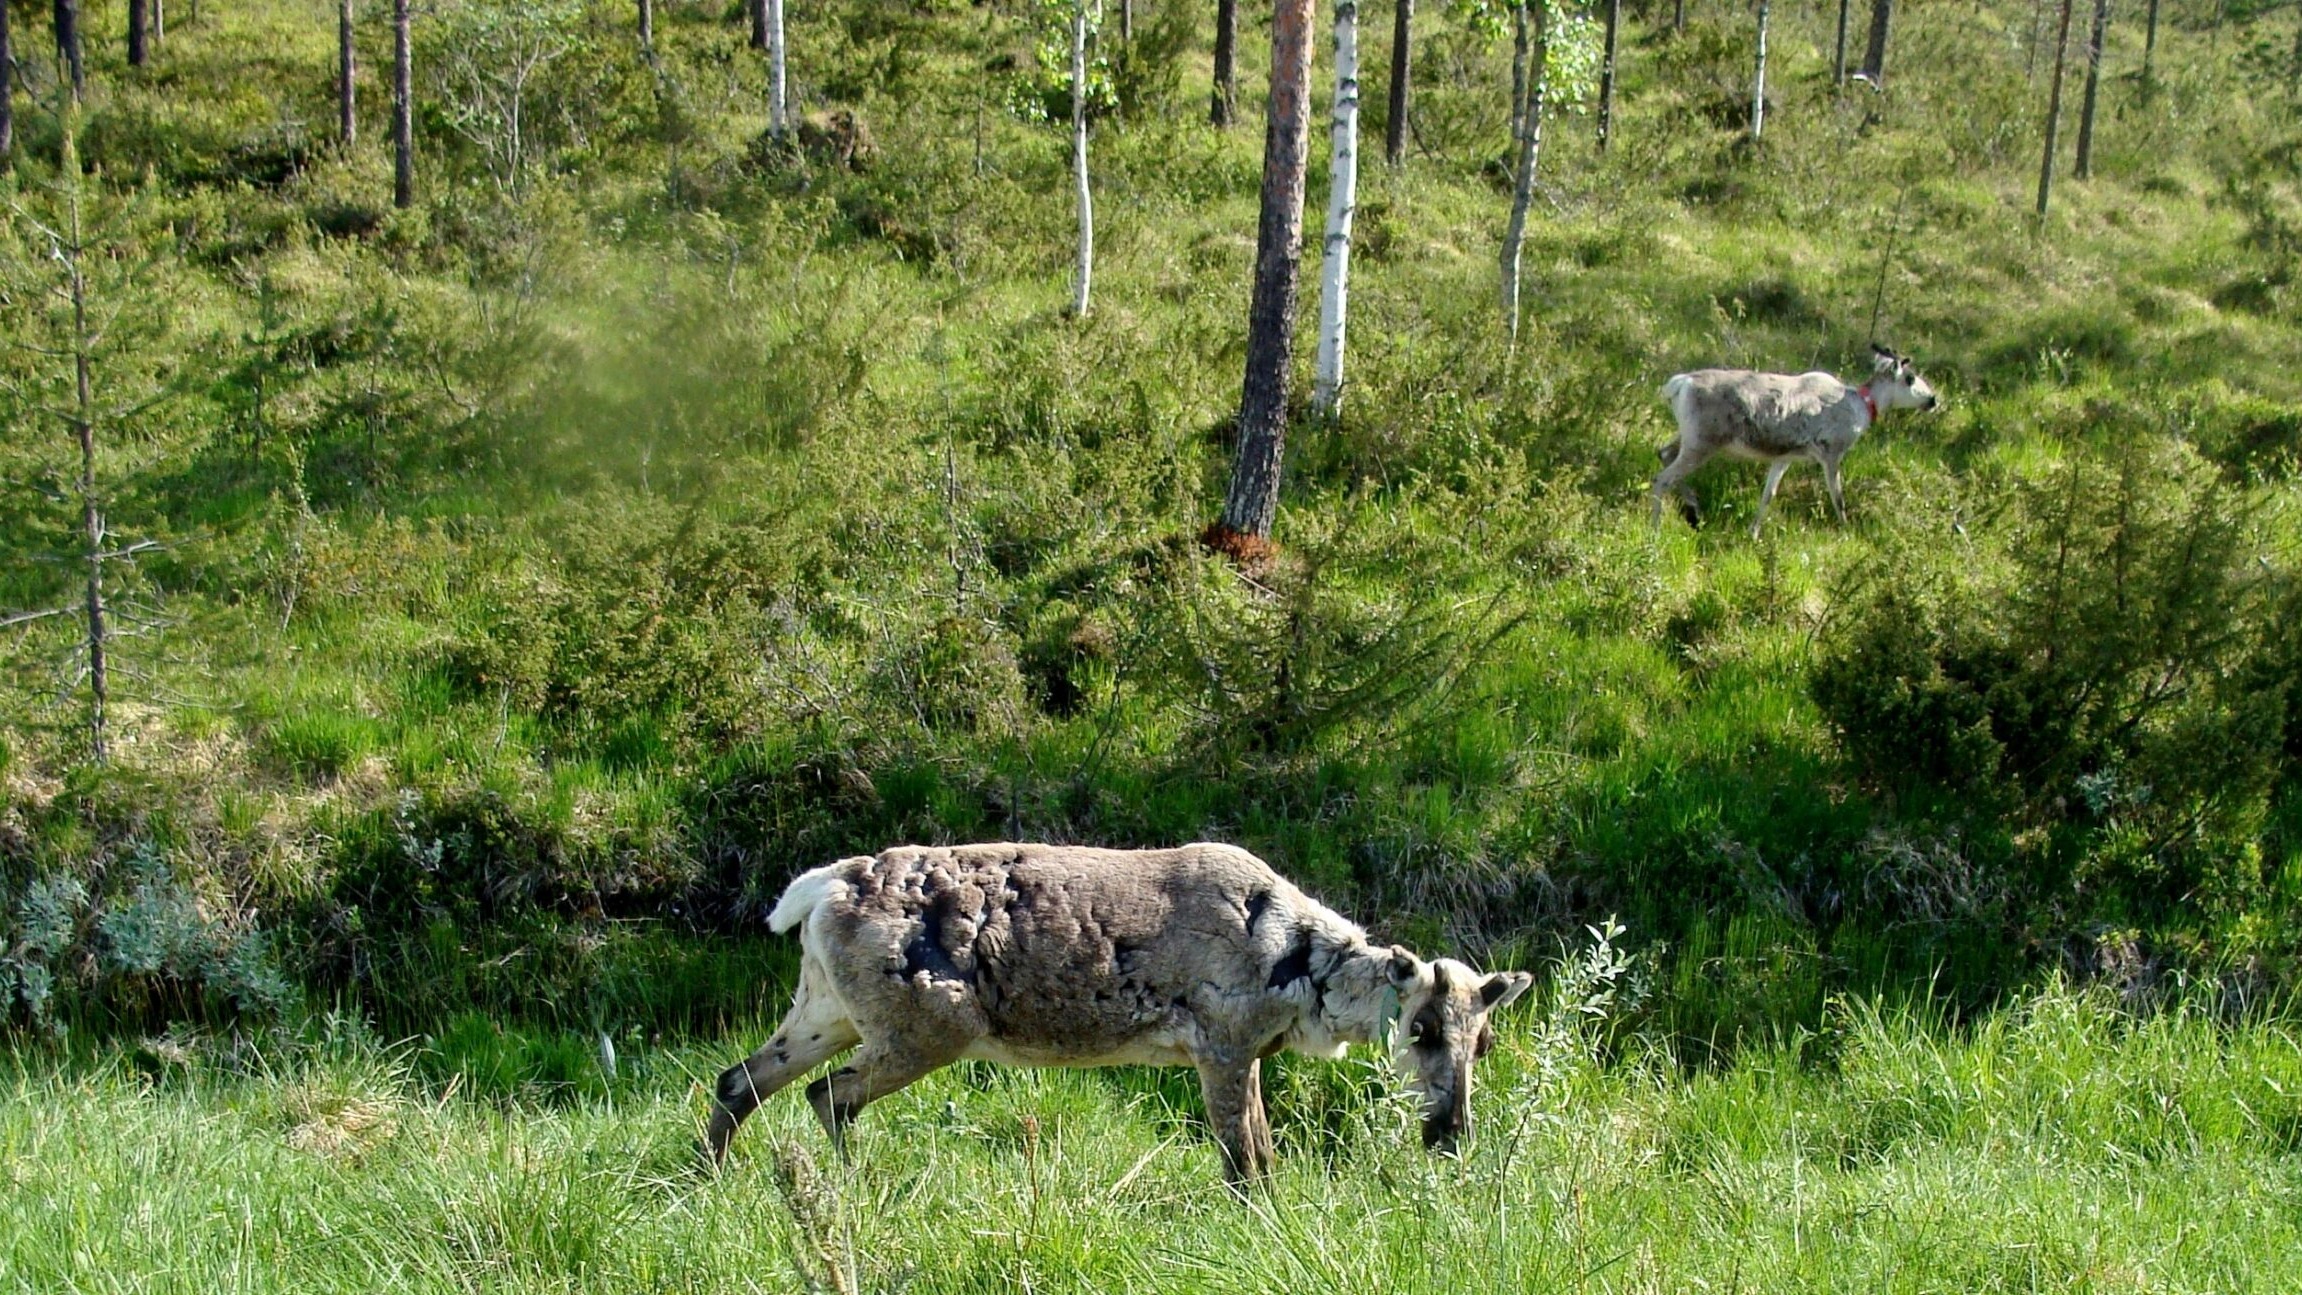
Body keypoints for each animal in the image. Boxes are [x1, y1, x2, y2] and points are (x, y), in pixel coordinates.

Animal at [1651, 345, 1939, 537]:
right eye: (1910, 378)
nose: (1933, 399)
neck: (1863, 406)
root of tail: (1679, 384)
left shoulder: (1784, 458)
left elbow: (1768, 495)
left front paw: (1753, 534)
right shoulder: (1832, 453)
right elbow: (1838, 498)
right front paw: (1846, 531)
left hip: (1690, 438)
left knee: (1663, 453)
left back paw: (1695, 511)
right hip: (1702, 442)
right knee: (1661, 478)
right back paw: (1657, 529)